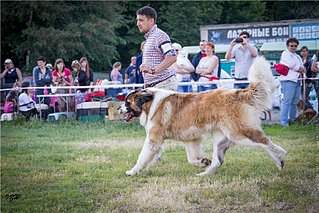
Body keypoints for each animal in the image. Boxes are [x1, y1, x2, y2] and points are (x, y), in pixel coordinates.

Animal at [121, 56, 288, 176]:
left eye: (127, 102)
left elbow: (142, 157)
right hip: (221, 139)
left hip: (239, 133)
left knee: (265, 142)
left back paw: (280, 158)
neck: (149, 103)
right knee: (218, 160)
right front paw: (202, 161)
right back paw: (205, 173)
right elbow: (191, 158)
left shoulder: (153, 140)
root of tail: (239, 93)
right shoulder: (191, 139)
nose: (119, 108)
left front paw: (132, 171)